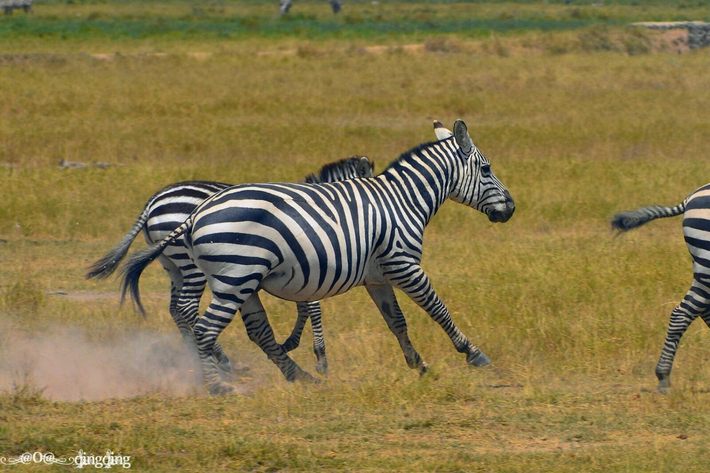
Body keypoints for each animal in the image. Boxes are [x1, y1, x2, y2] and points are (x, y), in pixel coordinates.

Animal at [87, 157, 376, 374]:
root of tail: (152, 203)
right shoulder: (308, 264)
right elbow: (313, 307)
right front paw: (320, 357)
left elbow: (304, 306)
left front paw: (292, 343)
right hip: (190, 264)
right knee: (186, 307)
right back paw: (220, 359)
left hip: (171, 264)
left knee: (175, 308)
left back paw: (196, 358)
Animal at [119, 120, 516, 392]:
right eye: (486, 169)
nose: (511, 208)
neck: (400, 201)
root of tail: (186, 212)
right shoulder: (402, 264)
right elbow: (437, 308)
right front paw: (473, 353)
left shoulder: (376, 275)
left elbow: (397, 322)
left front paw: (418, 364)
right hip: (230, 278)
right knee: (200, 323)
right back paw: (219, 384)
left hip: (228, 278)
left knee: (243, 327)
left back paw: (293, 376)